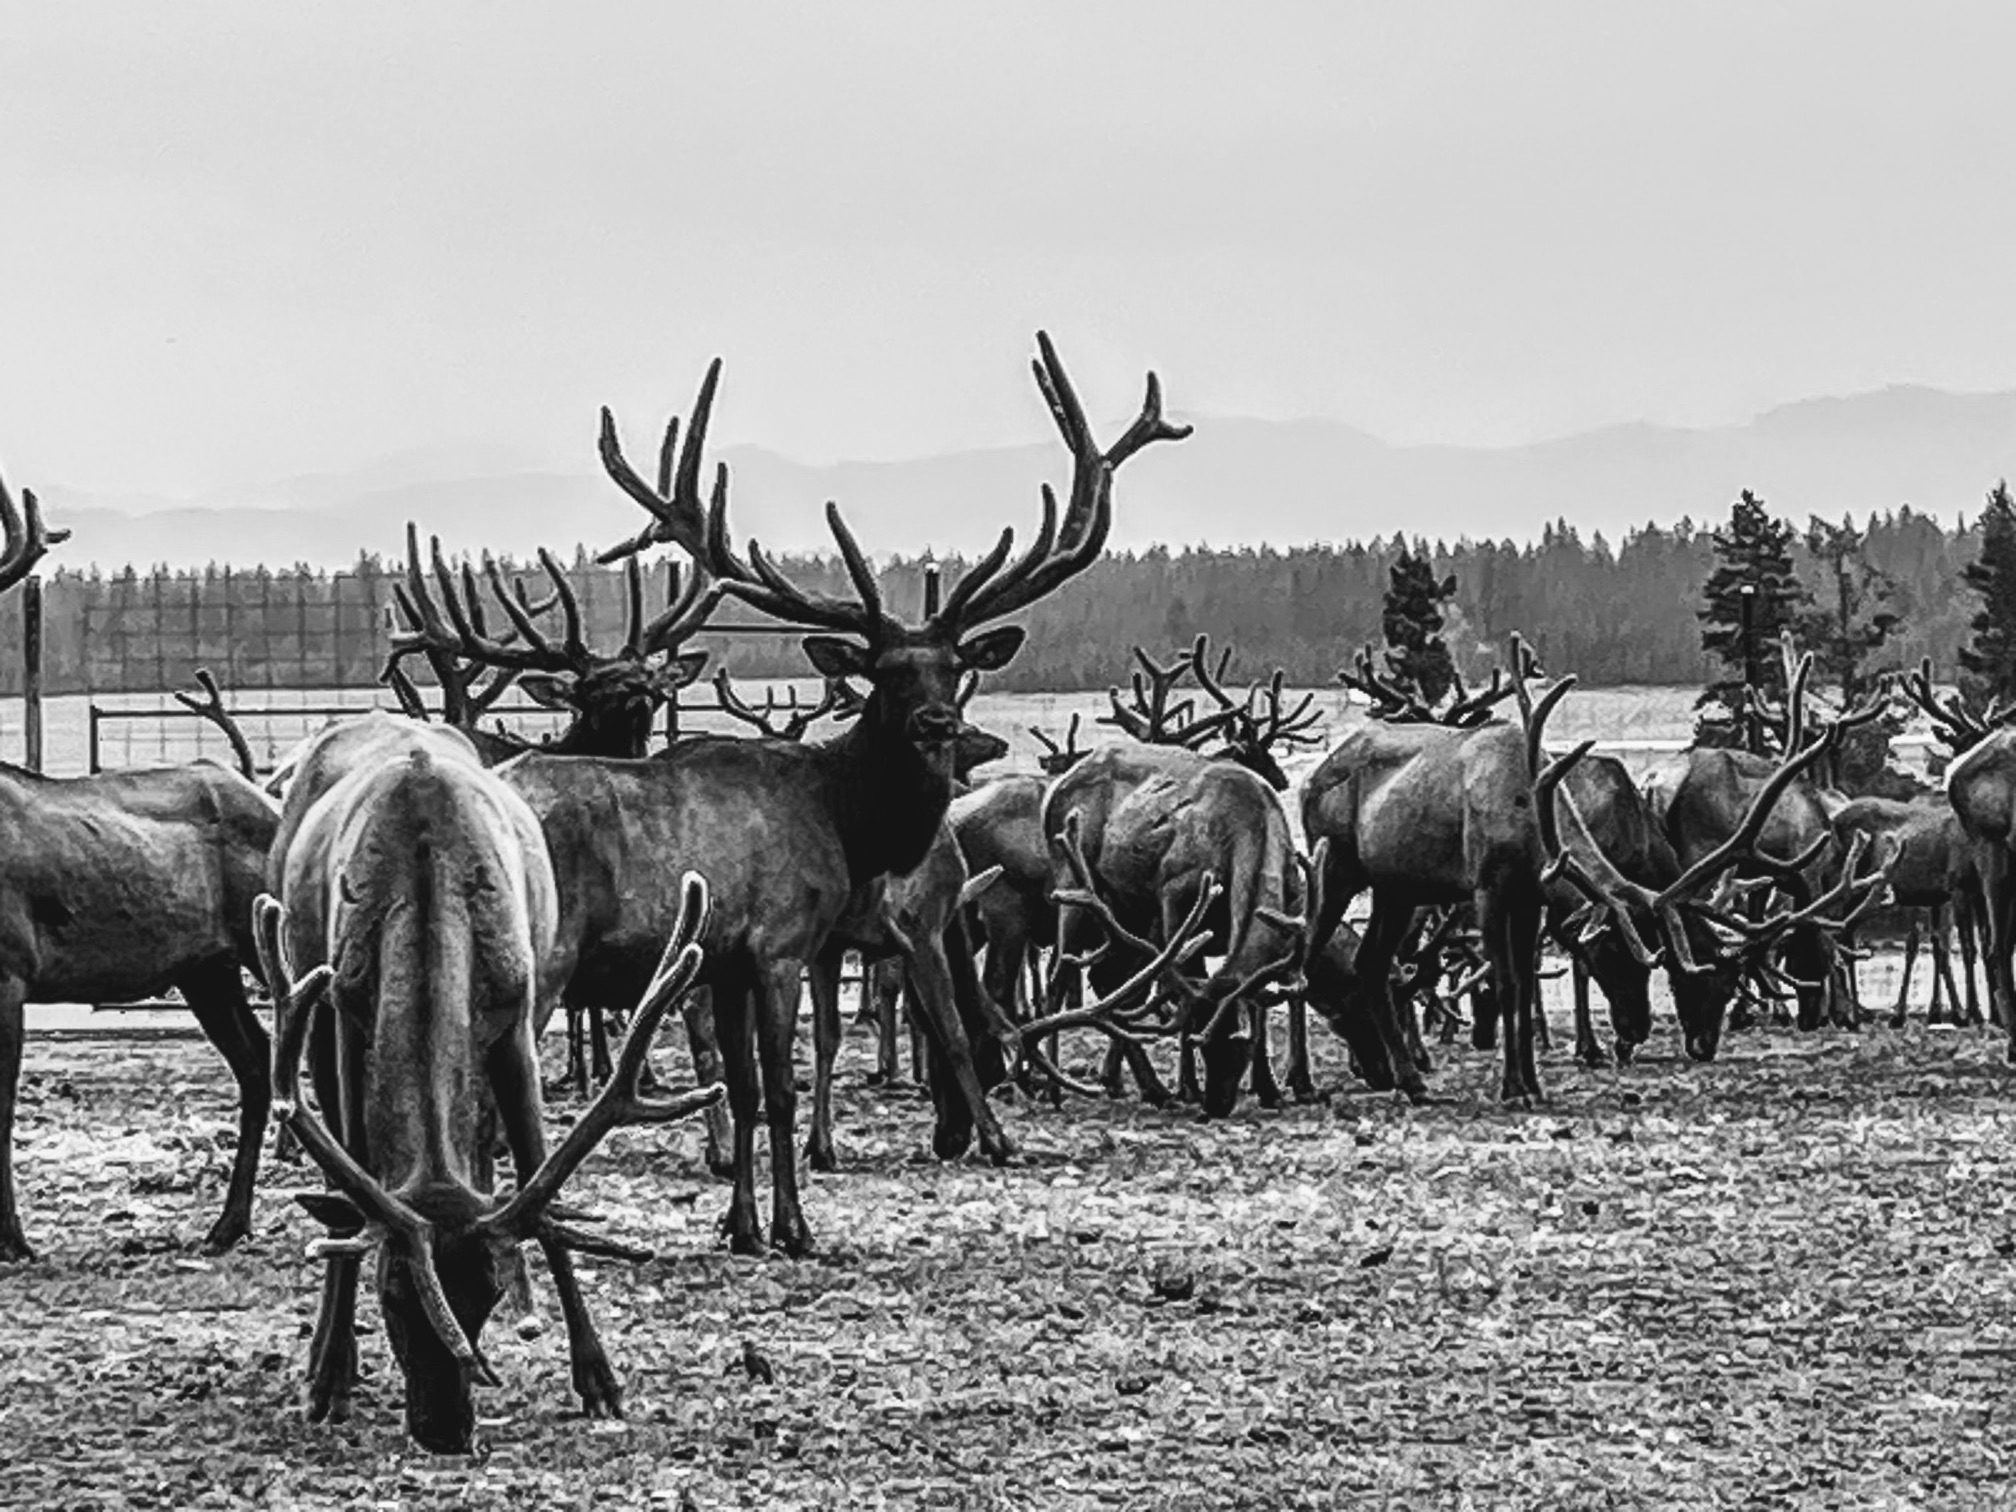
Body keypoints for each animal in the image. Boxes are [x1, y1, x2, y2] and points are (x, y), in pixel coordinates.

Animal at [259, 715, 720, 1451]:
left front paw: (599, 1378)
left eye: (490, 1291)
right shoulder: (344, 1010)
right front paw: (327, 1375)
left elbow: (536, 1170)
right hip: (307, 994)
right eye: (392, 1291)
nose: (445, 1430)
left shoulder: (519, 1010)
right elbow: (354, 1180)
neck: (423, 867)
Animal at [501, 331, 1186, 1257]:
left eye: (954, 665)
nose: (937, 722)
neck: (846, 818)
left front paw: (742, 1225)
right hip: (544, 953)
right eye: (886, 672)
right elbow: (780, 1087)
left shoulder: (724, 957)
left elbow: (744, 1087)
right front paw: (793, 1226)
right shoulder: (780, 939)